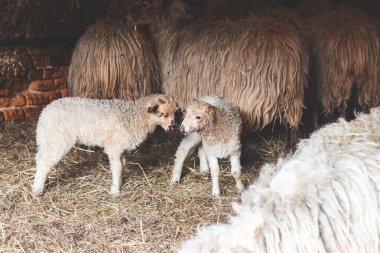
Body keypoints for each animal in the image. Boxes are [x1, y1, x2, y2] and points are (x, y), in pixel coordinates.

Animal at [30, 94, 177, 195]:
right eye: (162, 114)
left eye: (174, 113)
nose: (172, 128)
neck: (134, 116)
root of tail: (45, 113)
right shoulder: (114, 146)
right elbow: (117, 167)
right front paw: (115, 191)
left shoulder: (120, 147)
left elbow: (123, 164)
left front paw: (119, 183)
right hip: (58, 139)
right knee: (45, 162)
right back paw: (37, 189)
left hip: (47, 139)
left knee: (40, 158)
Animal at [127, 0, 308, 145]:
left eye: (145, 4)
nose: (128, 17)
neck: (171, 33)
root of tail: (288, 48)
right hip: (293, 97)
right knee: (292, 125)